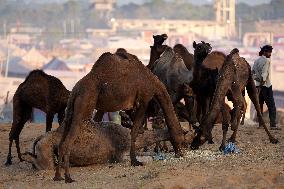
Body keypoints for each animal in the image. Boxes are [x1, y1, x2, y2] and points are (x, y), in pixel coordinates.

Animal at [54, 51, 185, 182]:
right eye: (182, 138)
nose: (181, 153)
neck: (154, 82)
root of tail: (75, 90)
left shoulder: (131, 107)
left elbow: (134, 129)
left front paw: (134, 160)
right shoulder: (144, 99)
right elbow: (134, 132)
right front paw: (135, 161)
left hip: (70, 110)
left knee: (61, 141)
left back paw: (58, 176)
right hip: (84, 104)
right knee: (67, 142)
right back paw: (68, 177)